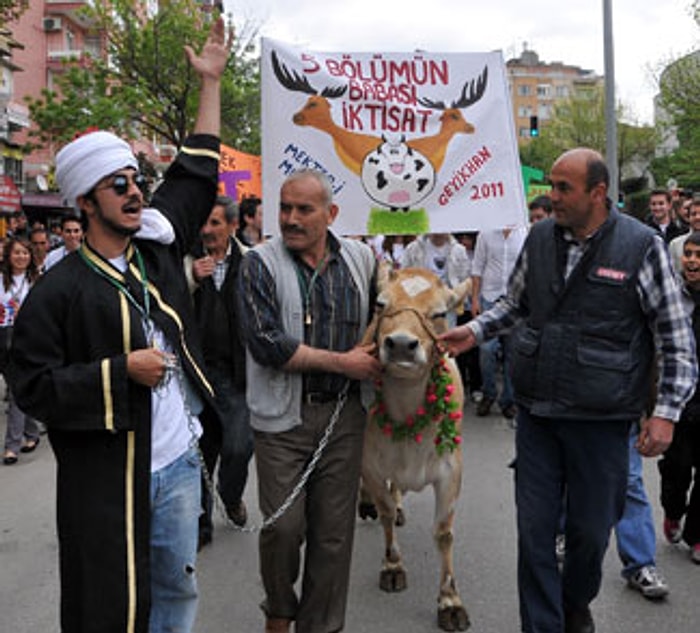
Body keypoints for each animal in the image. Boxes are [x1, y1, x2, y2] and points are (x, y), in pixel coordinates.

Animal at [360, 264, 470, 628]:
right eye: (381, 304)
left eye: (438, 313)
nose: (400, 345)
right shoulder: (371, 465)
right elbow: (383, 512)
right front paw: (392, 566)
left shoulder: (451, 471)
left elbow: (443, 533)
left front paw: (450, 601)